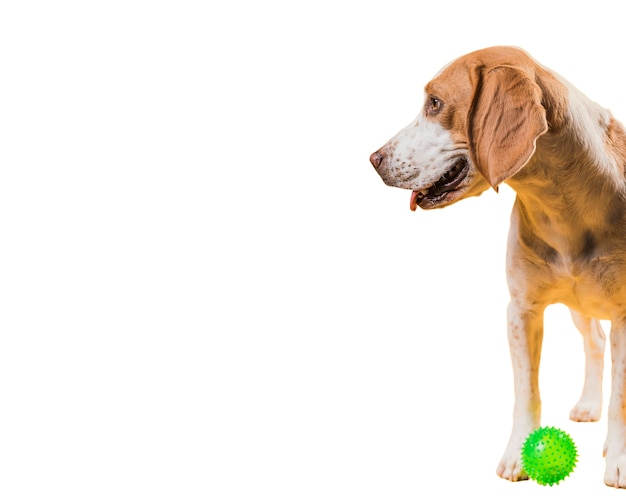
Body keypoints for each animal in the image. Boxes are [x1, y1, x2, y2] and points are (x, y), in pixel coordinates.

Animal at [368, 46, 626, 484]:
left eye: (434, 103)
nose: (373, 159)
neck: (563, 208)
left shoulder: (624, 316)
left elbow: (621, 398)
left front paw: (619, 459)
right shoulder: (521, 311)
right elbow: (527, 393)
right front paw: (519, 456)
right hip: (580, 308)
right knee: (594, 343)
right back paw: (590, 405)